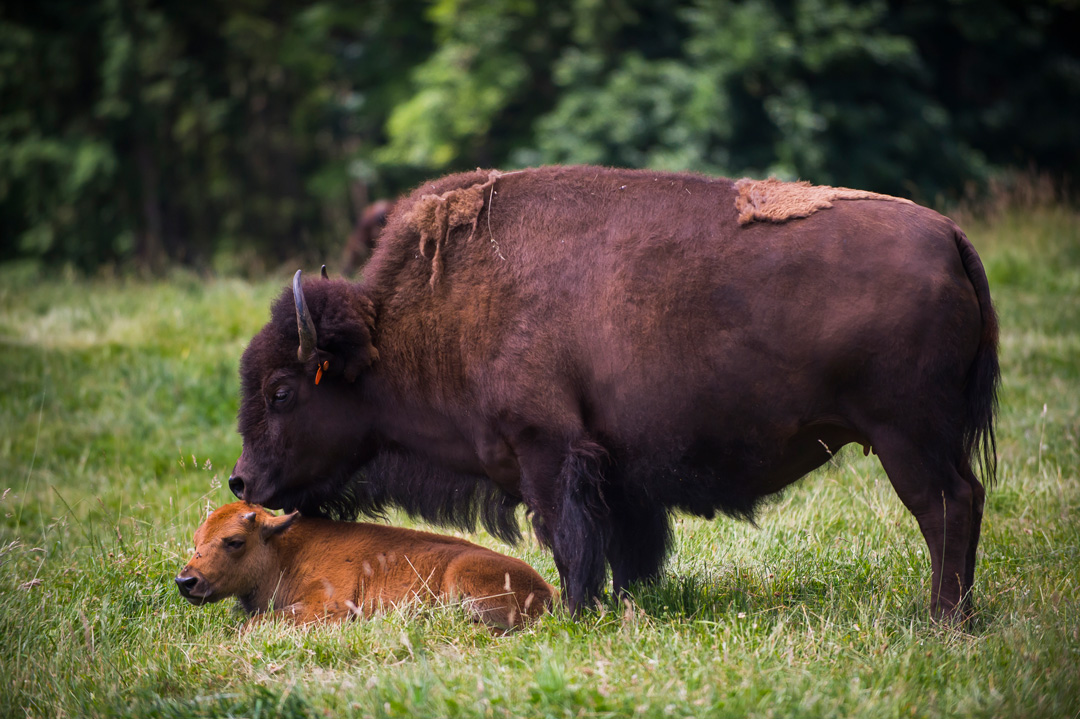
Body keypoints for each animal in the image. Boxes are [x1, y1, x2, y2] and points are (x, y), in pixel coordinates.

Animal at [174, 498, 557, 626]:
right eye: (196, 541)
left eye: (235, 541)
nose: (186, 581)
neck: (283, 552)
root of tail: (546, 590)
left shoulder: (328, 608)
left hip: (462, 580)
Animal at [230, 164, 1002, 617]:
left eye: (281, 391)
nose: (242, 481)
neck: (403, 330)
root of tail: (949, 236)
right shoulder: (618, 473)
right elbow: (624, 545)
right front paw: (625, 603)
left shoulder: (549, 454)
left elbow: (570, 541)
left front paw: (577, 611)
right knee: (962, 503)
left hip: (906, 439)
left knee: (947, 507)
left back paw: (943, 618)